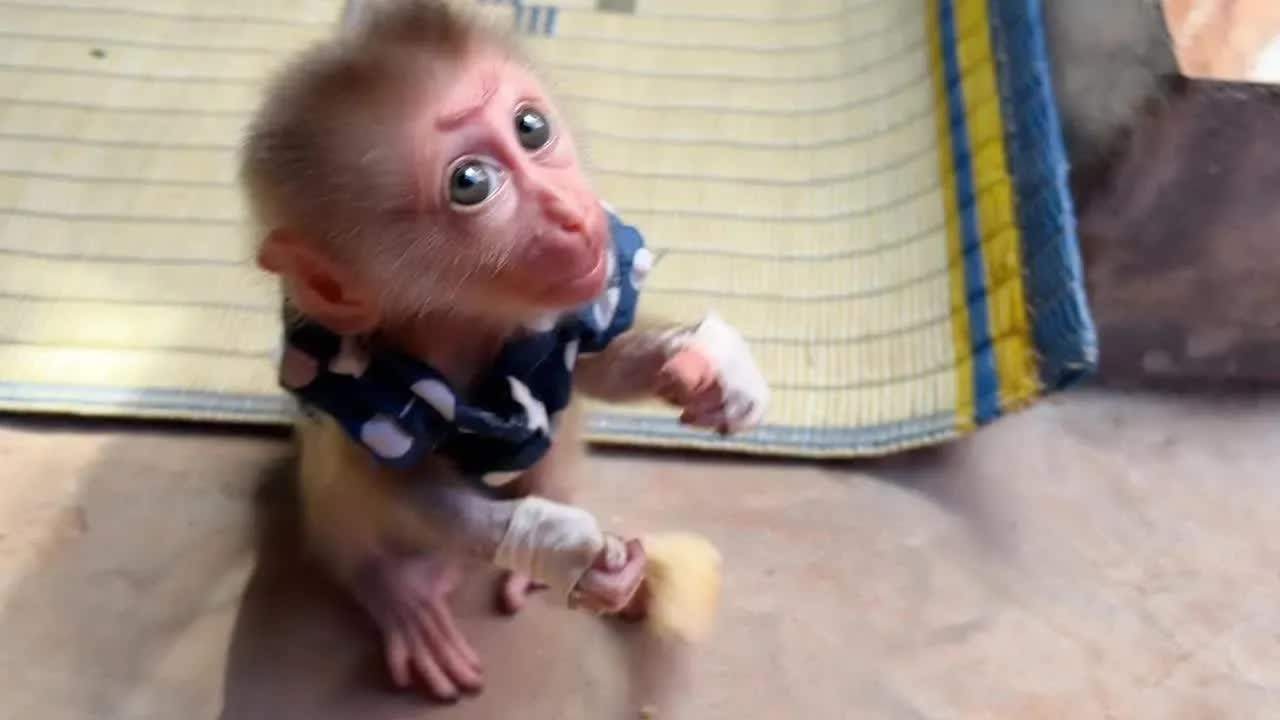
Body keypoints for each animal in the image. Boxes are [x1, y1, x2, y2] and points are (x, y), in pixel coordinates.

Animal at [238, 0, 769, 703]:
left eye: (531, 127)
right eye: (471, 183)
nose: (570, 211)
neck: (470, 324)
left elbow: (593, 363)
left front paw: (709, 373)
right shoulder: (360, 382)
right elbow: (401, 482)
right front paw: (567, 551)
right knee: (341, 481)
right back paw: (396, 590)